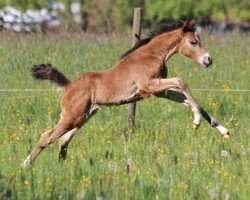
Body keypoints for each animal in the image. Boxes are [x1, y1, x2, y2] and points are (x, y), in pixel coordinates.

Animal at [22, 20, 229, 167]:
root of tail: (69, 84)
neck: (150, 55)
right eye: (193, 42)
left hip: (83, 116)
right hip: (72, 117)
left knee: (63, 140)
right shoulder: (148, 86)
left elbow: (188, 99)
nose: (208, 60)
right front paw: (196, 122)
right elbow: (181, 81)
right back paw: (25, 165)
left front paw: (222, 130)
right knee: (47, 136)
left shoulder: (160, 91)